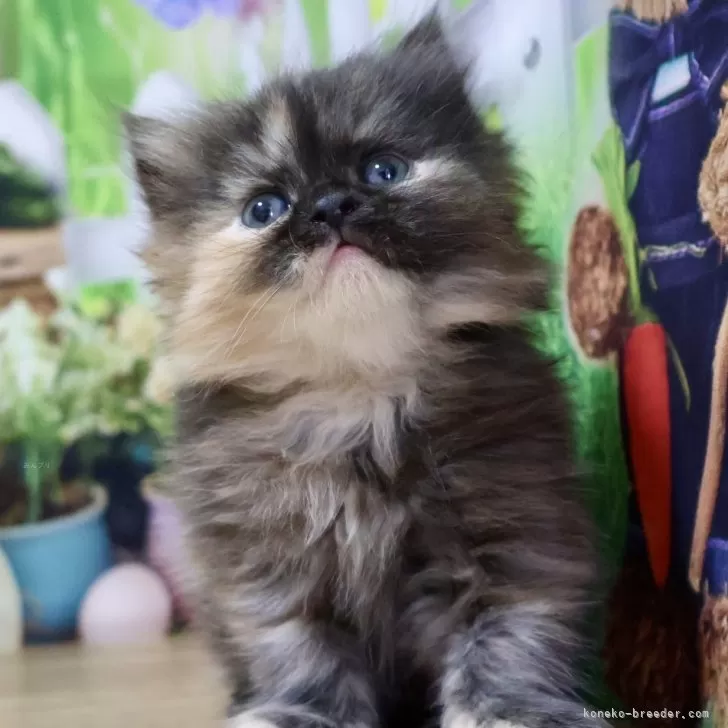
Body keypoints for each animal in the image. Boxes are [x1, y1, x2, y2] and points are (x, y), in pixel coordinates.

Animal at [125, 12, 604, 728]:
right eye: (264, 209)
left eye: (383, 170)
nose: (330, 205)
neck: (361, 394)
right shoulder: (272, 574)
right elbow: (303, 656)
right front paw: (301, 715)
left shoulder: (515, 537)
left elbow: (506, 641)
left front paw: (509, 711)